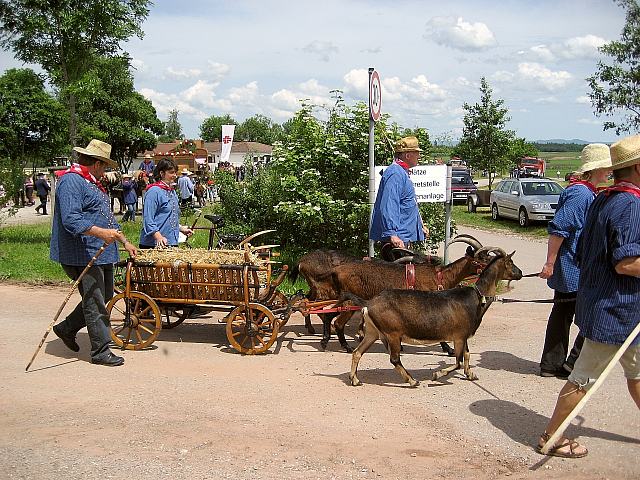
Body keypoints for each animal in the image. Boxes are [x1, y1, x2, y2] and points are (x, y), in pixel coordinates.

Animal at [322, 236, 492, 352]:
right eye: (481, 258)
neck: (440, 276)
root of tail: (336, 270)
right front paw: (448, 349)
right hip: (350, 302)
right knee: (338, 322)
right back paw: (344, 346)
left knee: (329, 314)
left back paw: (326, 340)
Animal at [348, 249, 524, 388]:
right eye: (510, 262)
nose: (521, 273)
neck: (476, 295)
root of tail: (369, 304)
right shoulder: (459, 336)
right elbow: (458, 361)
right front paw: (437, 375)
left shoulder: (463, 335)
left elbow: (467, 355)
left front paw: (471, 374)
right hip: (392, 333)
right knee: (394, 359)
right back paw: (412, 381)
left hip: (373, 332)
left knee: (357, 352)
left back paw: (355, 379)